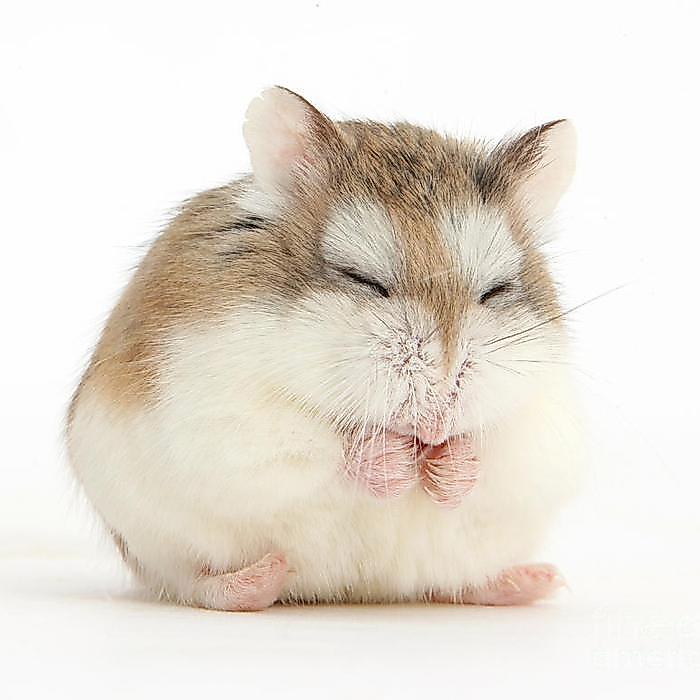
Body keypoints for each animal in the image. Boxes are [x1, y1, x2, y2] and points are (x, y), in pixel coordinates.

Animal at [66, 86, 583, 611]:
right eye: (364, 280)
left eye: (494, 291)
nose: (437, 423)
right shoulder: (223, 414)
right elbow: (327, 451)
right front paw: (394, 463)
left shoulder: (544, 430)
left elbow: (494, 456)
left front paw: (448, 465)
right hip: (153, 540)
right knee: (192, 582)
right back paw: (261, 579)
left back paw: (533, 581)